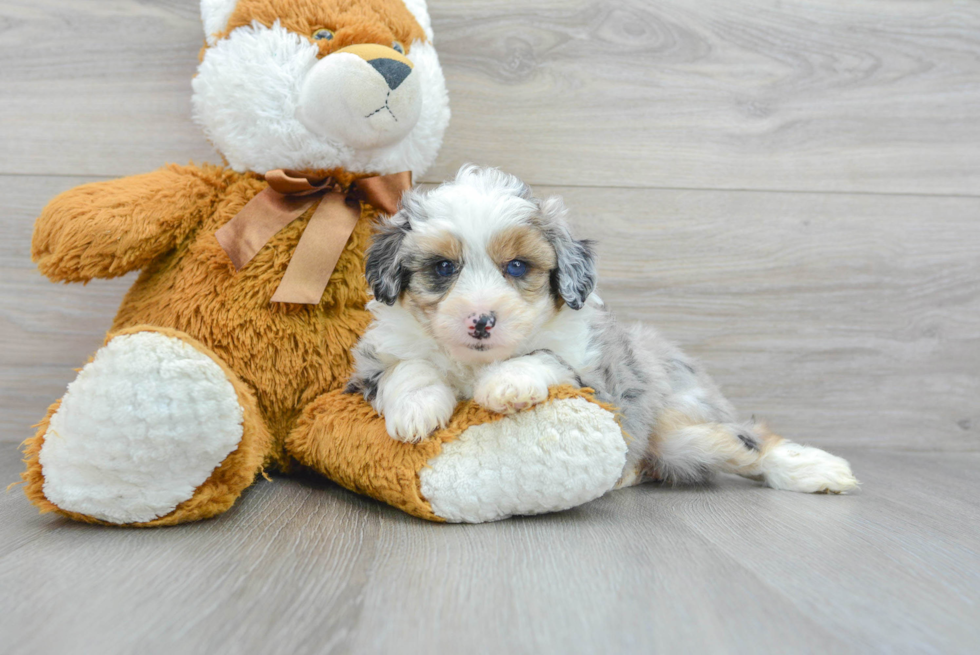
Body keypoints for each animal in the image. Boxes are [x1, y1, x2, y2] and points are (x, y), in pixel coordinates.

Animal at [350, 167, 856, 494]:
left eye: (517, 266)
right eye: (442, 267)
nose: (481, 321)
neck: (476, 361)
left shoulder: (597, 378)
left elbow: (544, 356)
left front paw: (507, 383)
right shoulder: (367, 367)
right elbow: (408, 367)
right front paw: (417, 410)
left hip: (679, 428)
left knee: (751, 439)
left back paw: (818, 470)